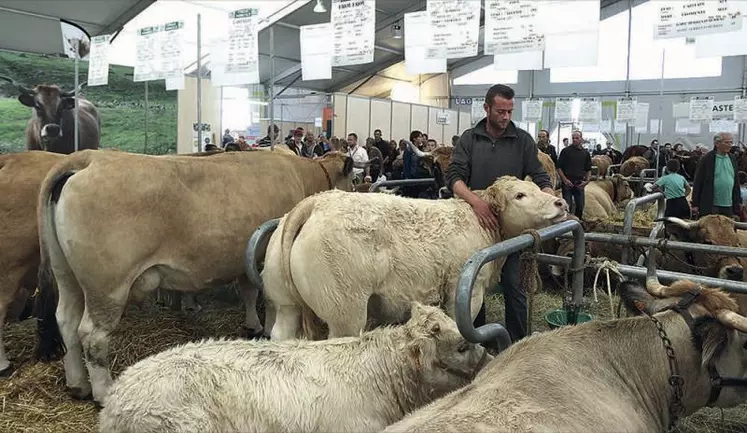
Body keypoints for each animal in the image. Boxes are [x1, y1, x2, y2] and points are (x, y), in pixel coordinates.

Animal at [36, 149, 358, 404]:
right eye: (354, 179)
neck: (300, 174)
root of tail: (90, 157)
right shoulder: (267, 254)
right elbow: (268, 296)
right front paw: (265, 327)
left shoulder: (245, 258)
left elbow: (249, 292)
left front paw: (253, 325)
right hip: (107, 286)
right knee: (93, 335)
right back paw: (102, 393)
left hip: (66, 274)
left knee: (65, 321)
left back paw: (77, 384)